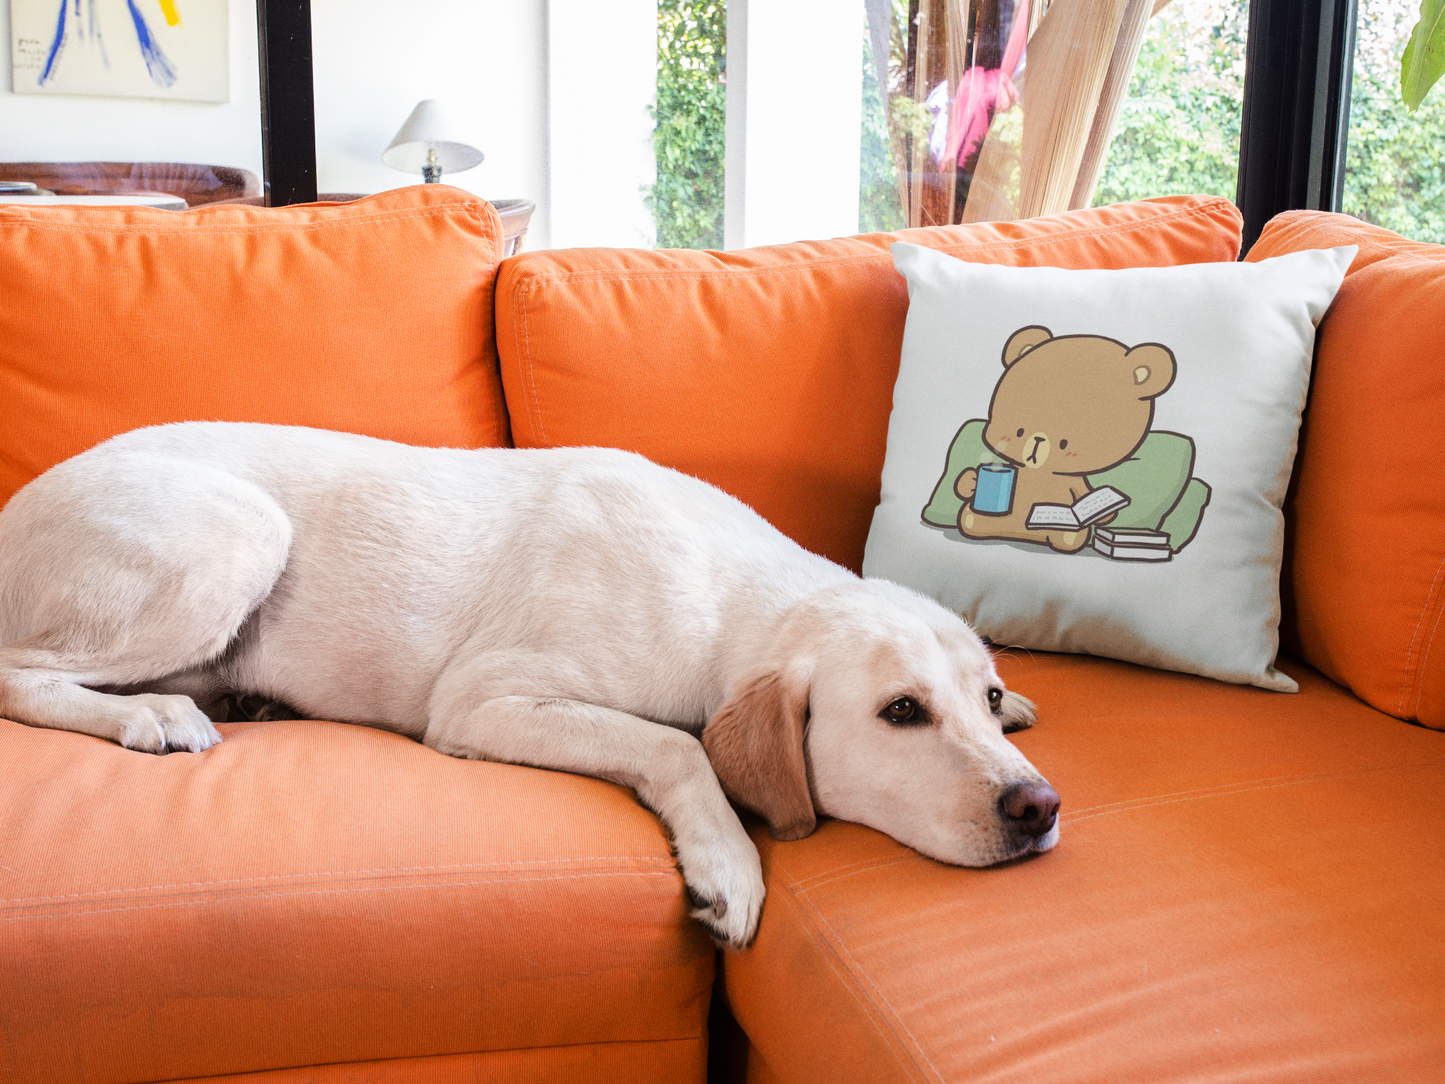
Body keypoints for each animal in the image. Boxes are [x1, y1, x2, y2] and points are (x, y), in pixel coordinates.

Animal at [952, 326, 1177, 552]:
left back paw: (1066, 537)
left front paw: (1104, 507)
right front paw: (971, 480)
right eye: (1019, 431)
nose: (1037, 442)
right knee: (973, 519)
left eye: (1064, 443)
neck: (1040, 472)